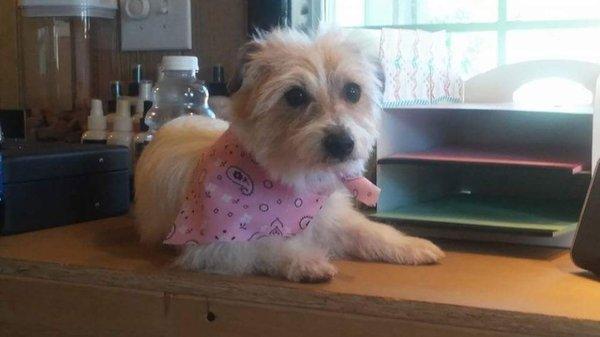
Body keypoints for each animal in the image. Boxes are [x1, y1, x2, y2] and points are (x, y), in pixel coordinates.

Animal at [136, 28, 446, 280]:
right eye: (295, 95)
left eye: (353, 91)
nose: (342, 143)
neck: (289, 179)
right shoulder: (213, 245)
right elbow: (266, 244)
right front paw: (306, 260)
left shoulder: (331, 218)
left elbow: (367, 230)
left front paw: (410, 244)